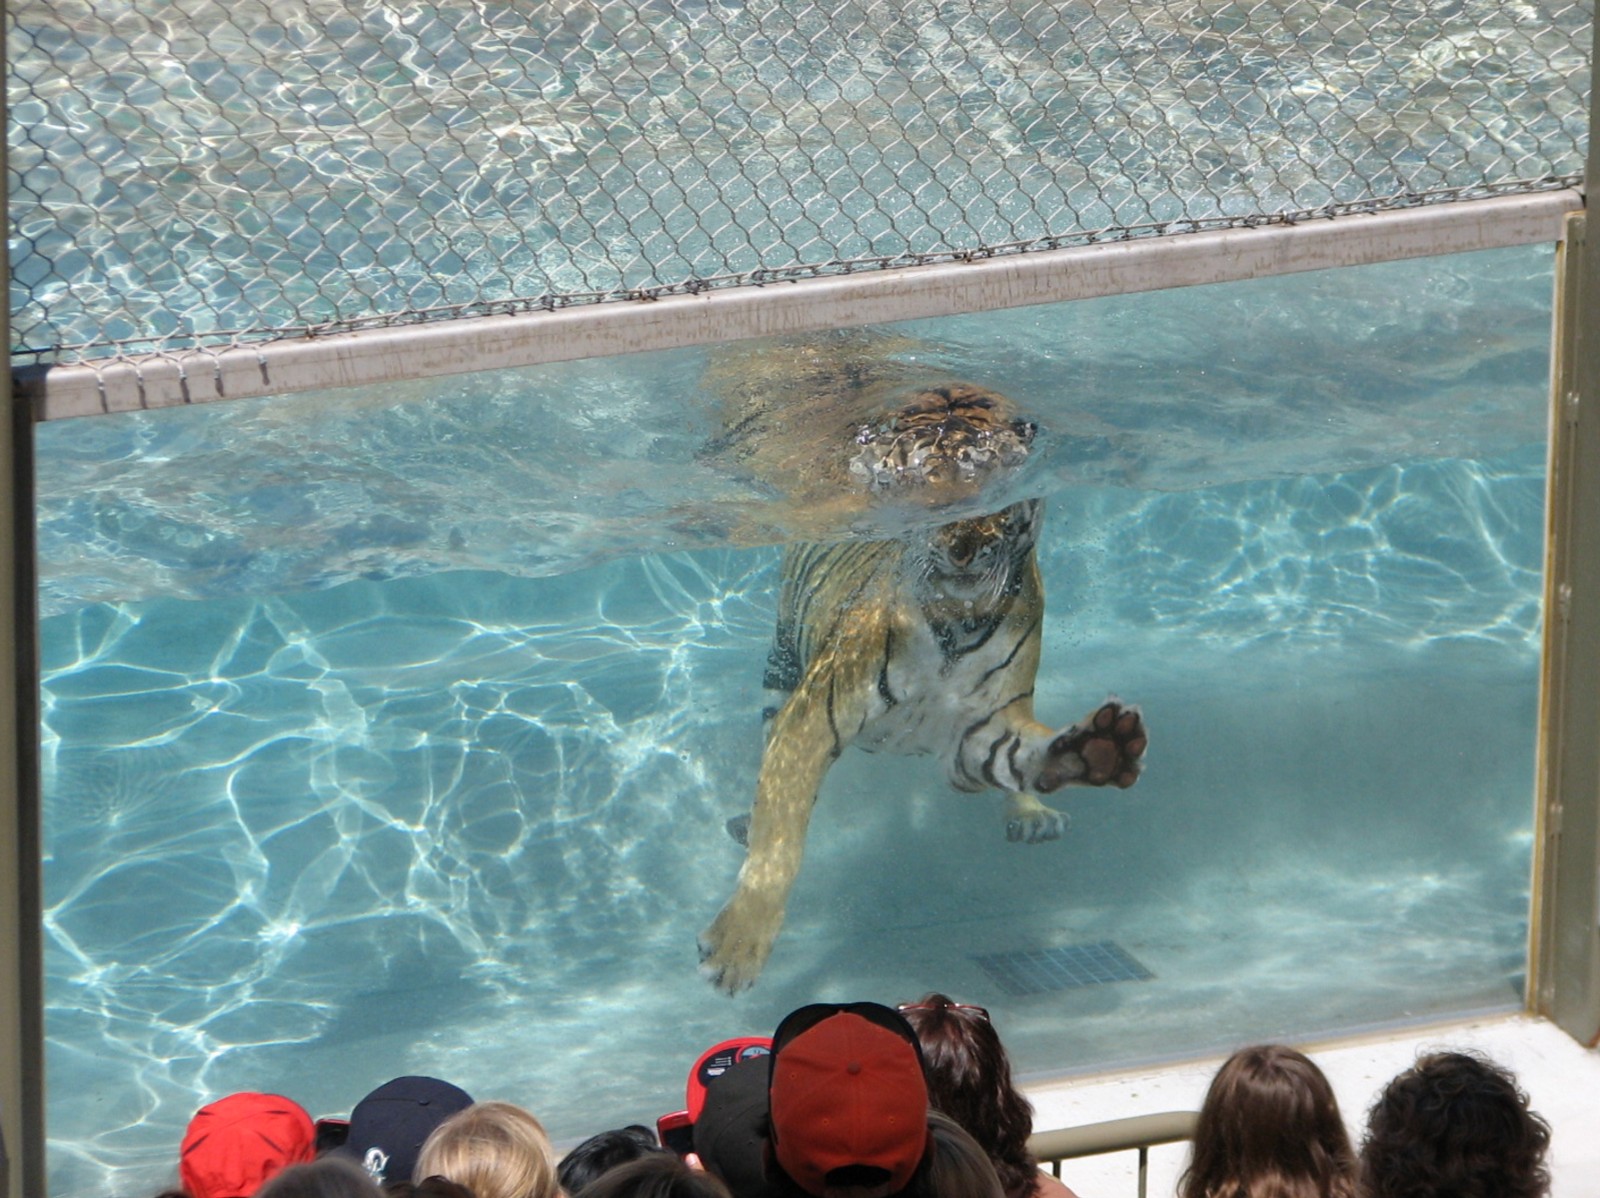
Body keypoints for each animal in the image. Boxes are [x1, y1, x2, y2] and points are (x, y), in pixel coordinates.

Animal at [697, 382, 1148, 995]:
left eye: (997, 495)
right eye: (924, 488)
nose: (960, 545)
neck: (961, 622)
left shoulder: (979, 732)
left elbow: (1024, 754)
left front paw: (1097, 749)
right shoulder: (811, 719)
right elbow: (780, 839)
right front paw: (738, 947)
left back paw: (1033, 815)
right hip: (783, 663)